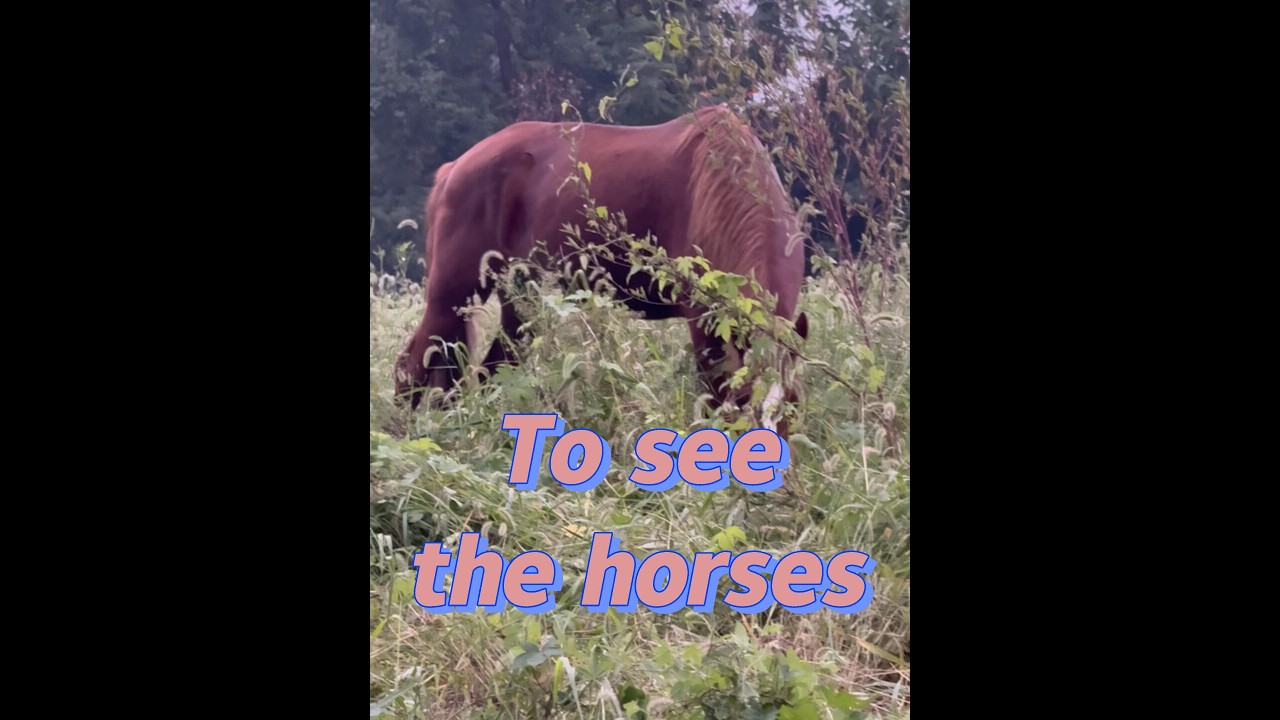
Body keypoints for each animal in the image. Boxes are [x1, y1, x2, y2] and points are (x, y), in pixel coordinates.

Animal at [394, 104, 809, 434]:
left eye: (791, 414)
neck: (722, 181)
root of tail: (453, 169)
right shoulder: (704, 326)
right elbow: (712, 402)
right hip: (454, 292)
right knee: (412, 366)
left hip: (520, 301)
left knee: (488, 372)